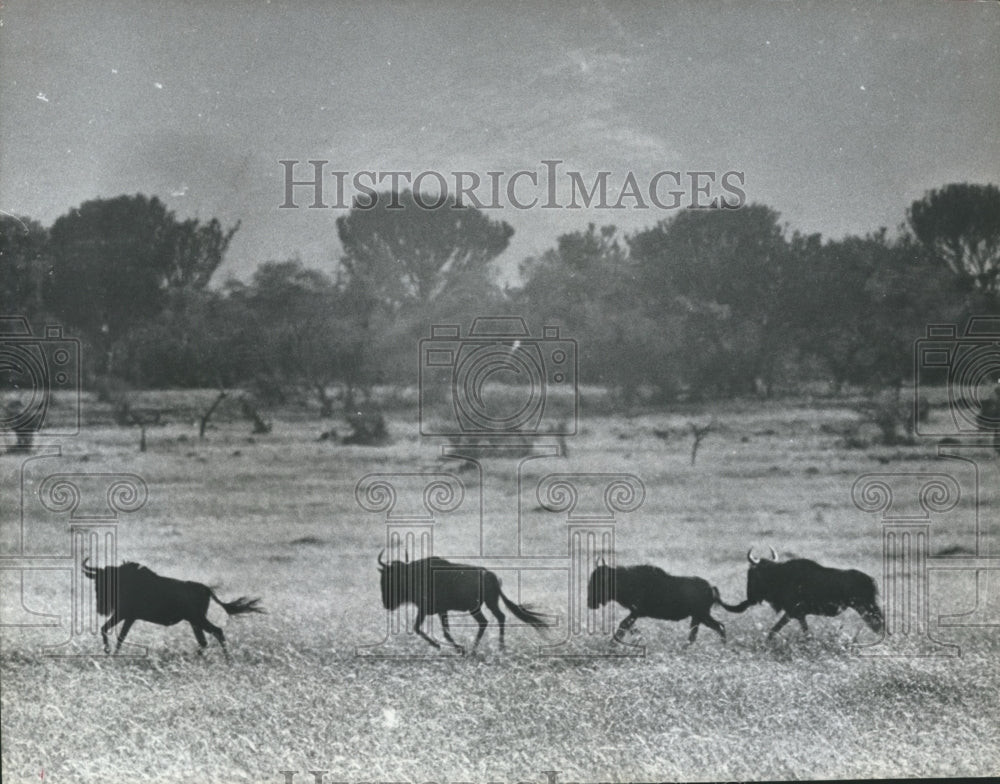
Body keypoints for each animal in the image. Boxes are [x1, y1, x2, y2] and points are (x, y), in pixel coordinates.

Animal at [82, 559, 264, 658]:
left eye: (109, 584)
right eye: (97, 584)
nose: (101, 609)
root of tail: (206, 589)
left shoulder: (124, 614)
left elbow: (109, 631)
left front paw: (108, 653)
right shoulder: (129, 617)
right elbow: (118, 635)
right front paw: (112, 654)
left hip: (197, 619)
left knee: (217, 632)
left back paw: (228, 661)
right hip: (194, 621)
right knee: (203, 641)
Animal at [377, 550, 552, 653]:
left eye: (391, 579)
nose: (386, 604)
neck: (413, 576)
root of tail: (490, 575)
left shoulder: (426, 609)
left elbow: (418, 628)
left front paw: (445, 646)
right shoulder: (441, 611)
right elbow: (444, 632)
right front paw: (455, 648)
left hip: (480, 606)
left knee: (491, 620)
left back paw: (489, 648)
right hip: (485, 605)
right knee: (495, 618)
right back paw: (489, 647)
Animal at [587, 560, 737, 643]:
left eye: (598, 583)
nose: (589, 602)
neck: (625, 580)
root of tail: (711, 588)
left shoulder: (637, 612)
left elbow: (624, 624)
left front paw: (613, 643)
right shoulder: (635, 613)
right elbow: (629, 626)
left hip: (701, 615)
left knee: (713, 629)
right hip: (699, 617)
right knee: (712, 629)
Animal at [725, 547, 884, 639]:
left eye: (751, 574)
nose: (750, 598)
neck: (778, 576)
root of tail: (871, 580)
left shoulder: (794, 612)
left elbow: (775, 631)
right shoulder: (797, 614)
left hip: (868, 609)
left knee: (881, 627)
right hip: (865, 610)